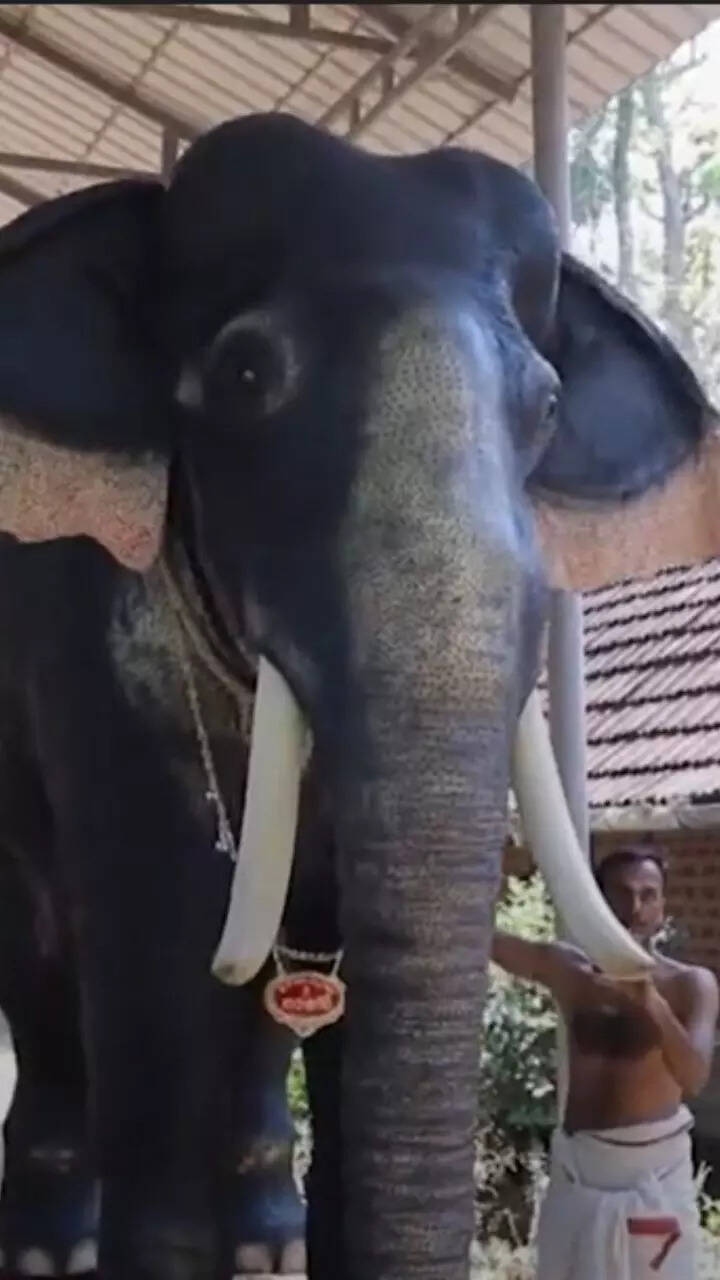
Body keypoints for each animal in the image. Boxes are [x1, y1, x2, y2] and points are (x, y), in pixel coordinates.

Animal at [0, 111, 718, 1280]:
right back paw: (51, 1253)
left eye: (548, 405)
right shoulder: (86, 645)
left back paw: (265, 1245)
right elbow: (154, 946)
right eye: (246, 373)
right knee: (41, 948)